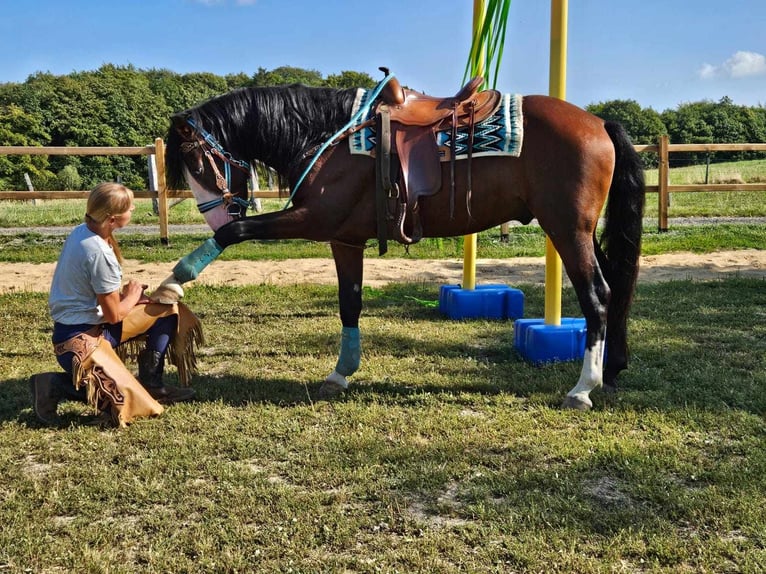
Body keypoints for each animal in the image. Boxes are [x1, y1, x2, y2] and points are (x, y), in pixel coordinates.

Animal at [158, 74, 648, 412]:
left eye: (196, 164)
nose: (216, 211)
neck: (326, 138)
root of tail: (598, 122)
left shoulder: (315, 219)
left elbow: (233, 234)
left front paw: (172, 284)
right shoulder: (344, 238)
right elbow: (350, 302)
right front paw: (341, 374)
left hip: (566, 230)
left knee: (597, 295)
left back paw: (583, 388)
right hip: (579, 232)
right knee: (616, 286)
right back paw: (613, 368)